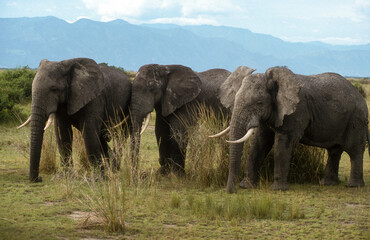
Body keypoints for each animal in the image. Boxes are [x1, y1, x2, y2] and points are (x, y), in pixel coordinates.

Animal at [215, 66, 368, 193]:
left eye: (259, 103)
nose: (232, 191)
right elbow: (259, 143)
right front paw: (247, 186)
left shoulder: (296, 112)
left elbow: (282, 144)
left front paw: (277, 189)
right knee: (334, 151)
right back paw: (327, 184)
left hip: (357, 120)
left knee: (354, 150)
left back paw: (353, 186)